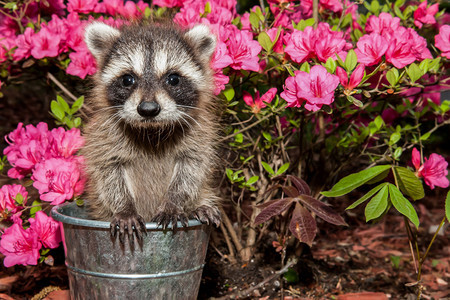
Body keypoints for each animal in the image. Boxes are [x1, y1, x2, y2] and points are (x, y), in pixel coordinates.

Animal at [81, 21, 222, 241]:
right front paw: (124, 207)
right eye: (127, 79)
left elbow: (191, 168)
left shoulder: (198, 134)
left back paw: (198, 207)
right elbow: (108, 171)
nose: (148, 109)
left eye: (173, 79)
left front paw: (174, 202)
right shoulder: (104, 136)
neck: (151, 129)